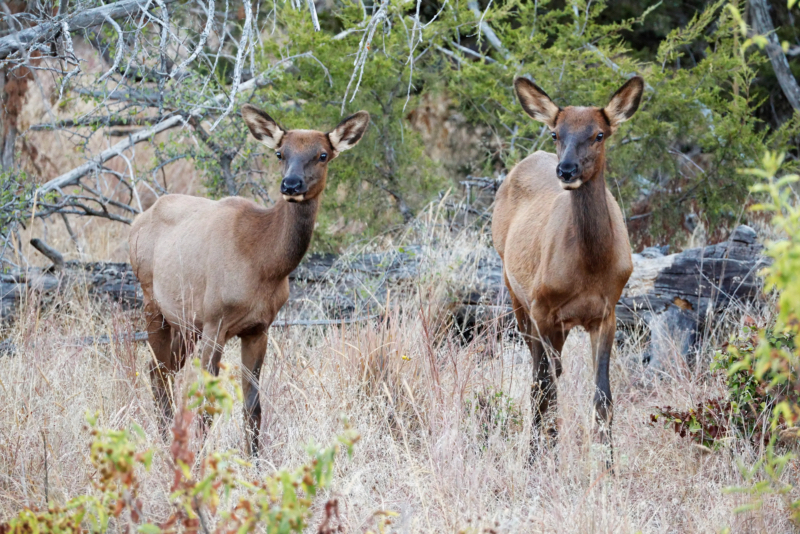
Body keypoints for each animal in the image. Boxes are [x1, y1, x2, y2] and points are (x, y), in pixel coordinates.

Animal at [130, 105, 370, 456]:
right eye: (280, 153)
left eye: (323, 154)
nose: (291, 184)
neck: (263, 263)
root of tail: (138, 220)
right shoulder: (215, 321)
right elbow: (207, 404)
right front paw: (198, 462)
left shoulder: (259, 328)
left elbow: (253, 406)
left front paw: (255, 461)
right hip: (152, 302)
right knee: (158, 371)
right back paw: (164, 441)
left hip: (185, 323)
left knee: (159, 369)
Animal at [494, 75, 644, 464]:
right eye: (555, 133)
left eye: (599, 134)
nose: (566, 170)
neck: (589, 269)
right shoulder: (542, 308)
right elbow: (545, 388)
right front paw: (540, 460)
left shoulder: (607, 313)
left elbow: (603, 396)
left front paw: (607, 465)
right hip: (516, 296)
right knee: (540, 380)